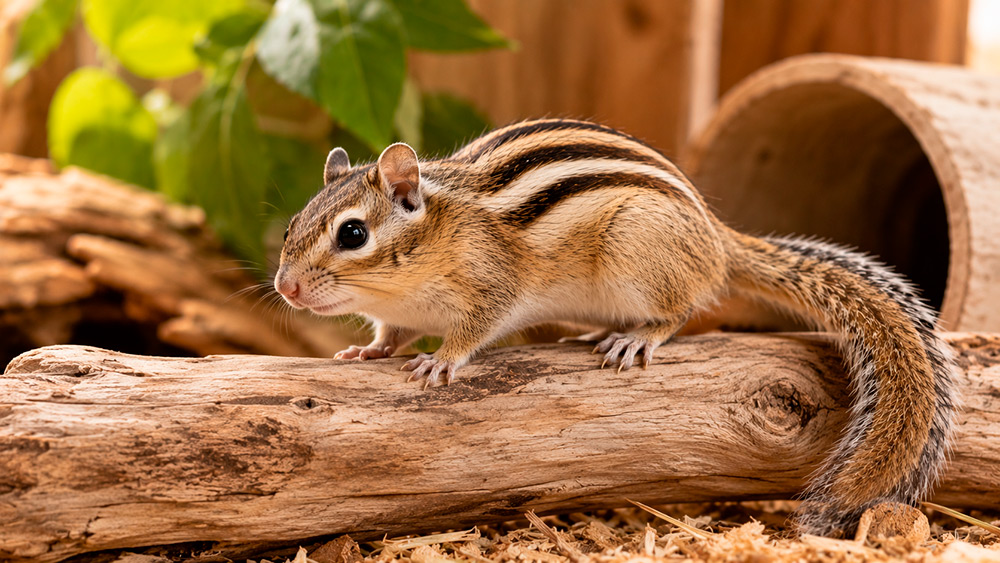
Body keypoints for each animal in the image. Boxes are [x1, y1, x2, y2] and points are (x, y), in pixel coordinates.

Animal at [274, 118, 958, 536]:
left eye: (353, 234)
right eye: (290, 226)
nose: (286, 288)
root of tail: (716, 239)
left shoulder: (492, 287)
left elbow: (474, 329)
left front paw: (443, 359)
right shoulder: (397, 314)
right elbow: (387, 335)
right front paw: (366, 352)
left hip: (637, 253)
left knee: (681, 309)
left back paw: (636, 336)